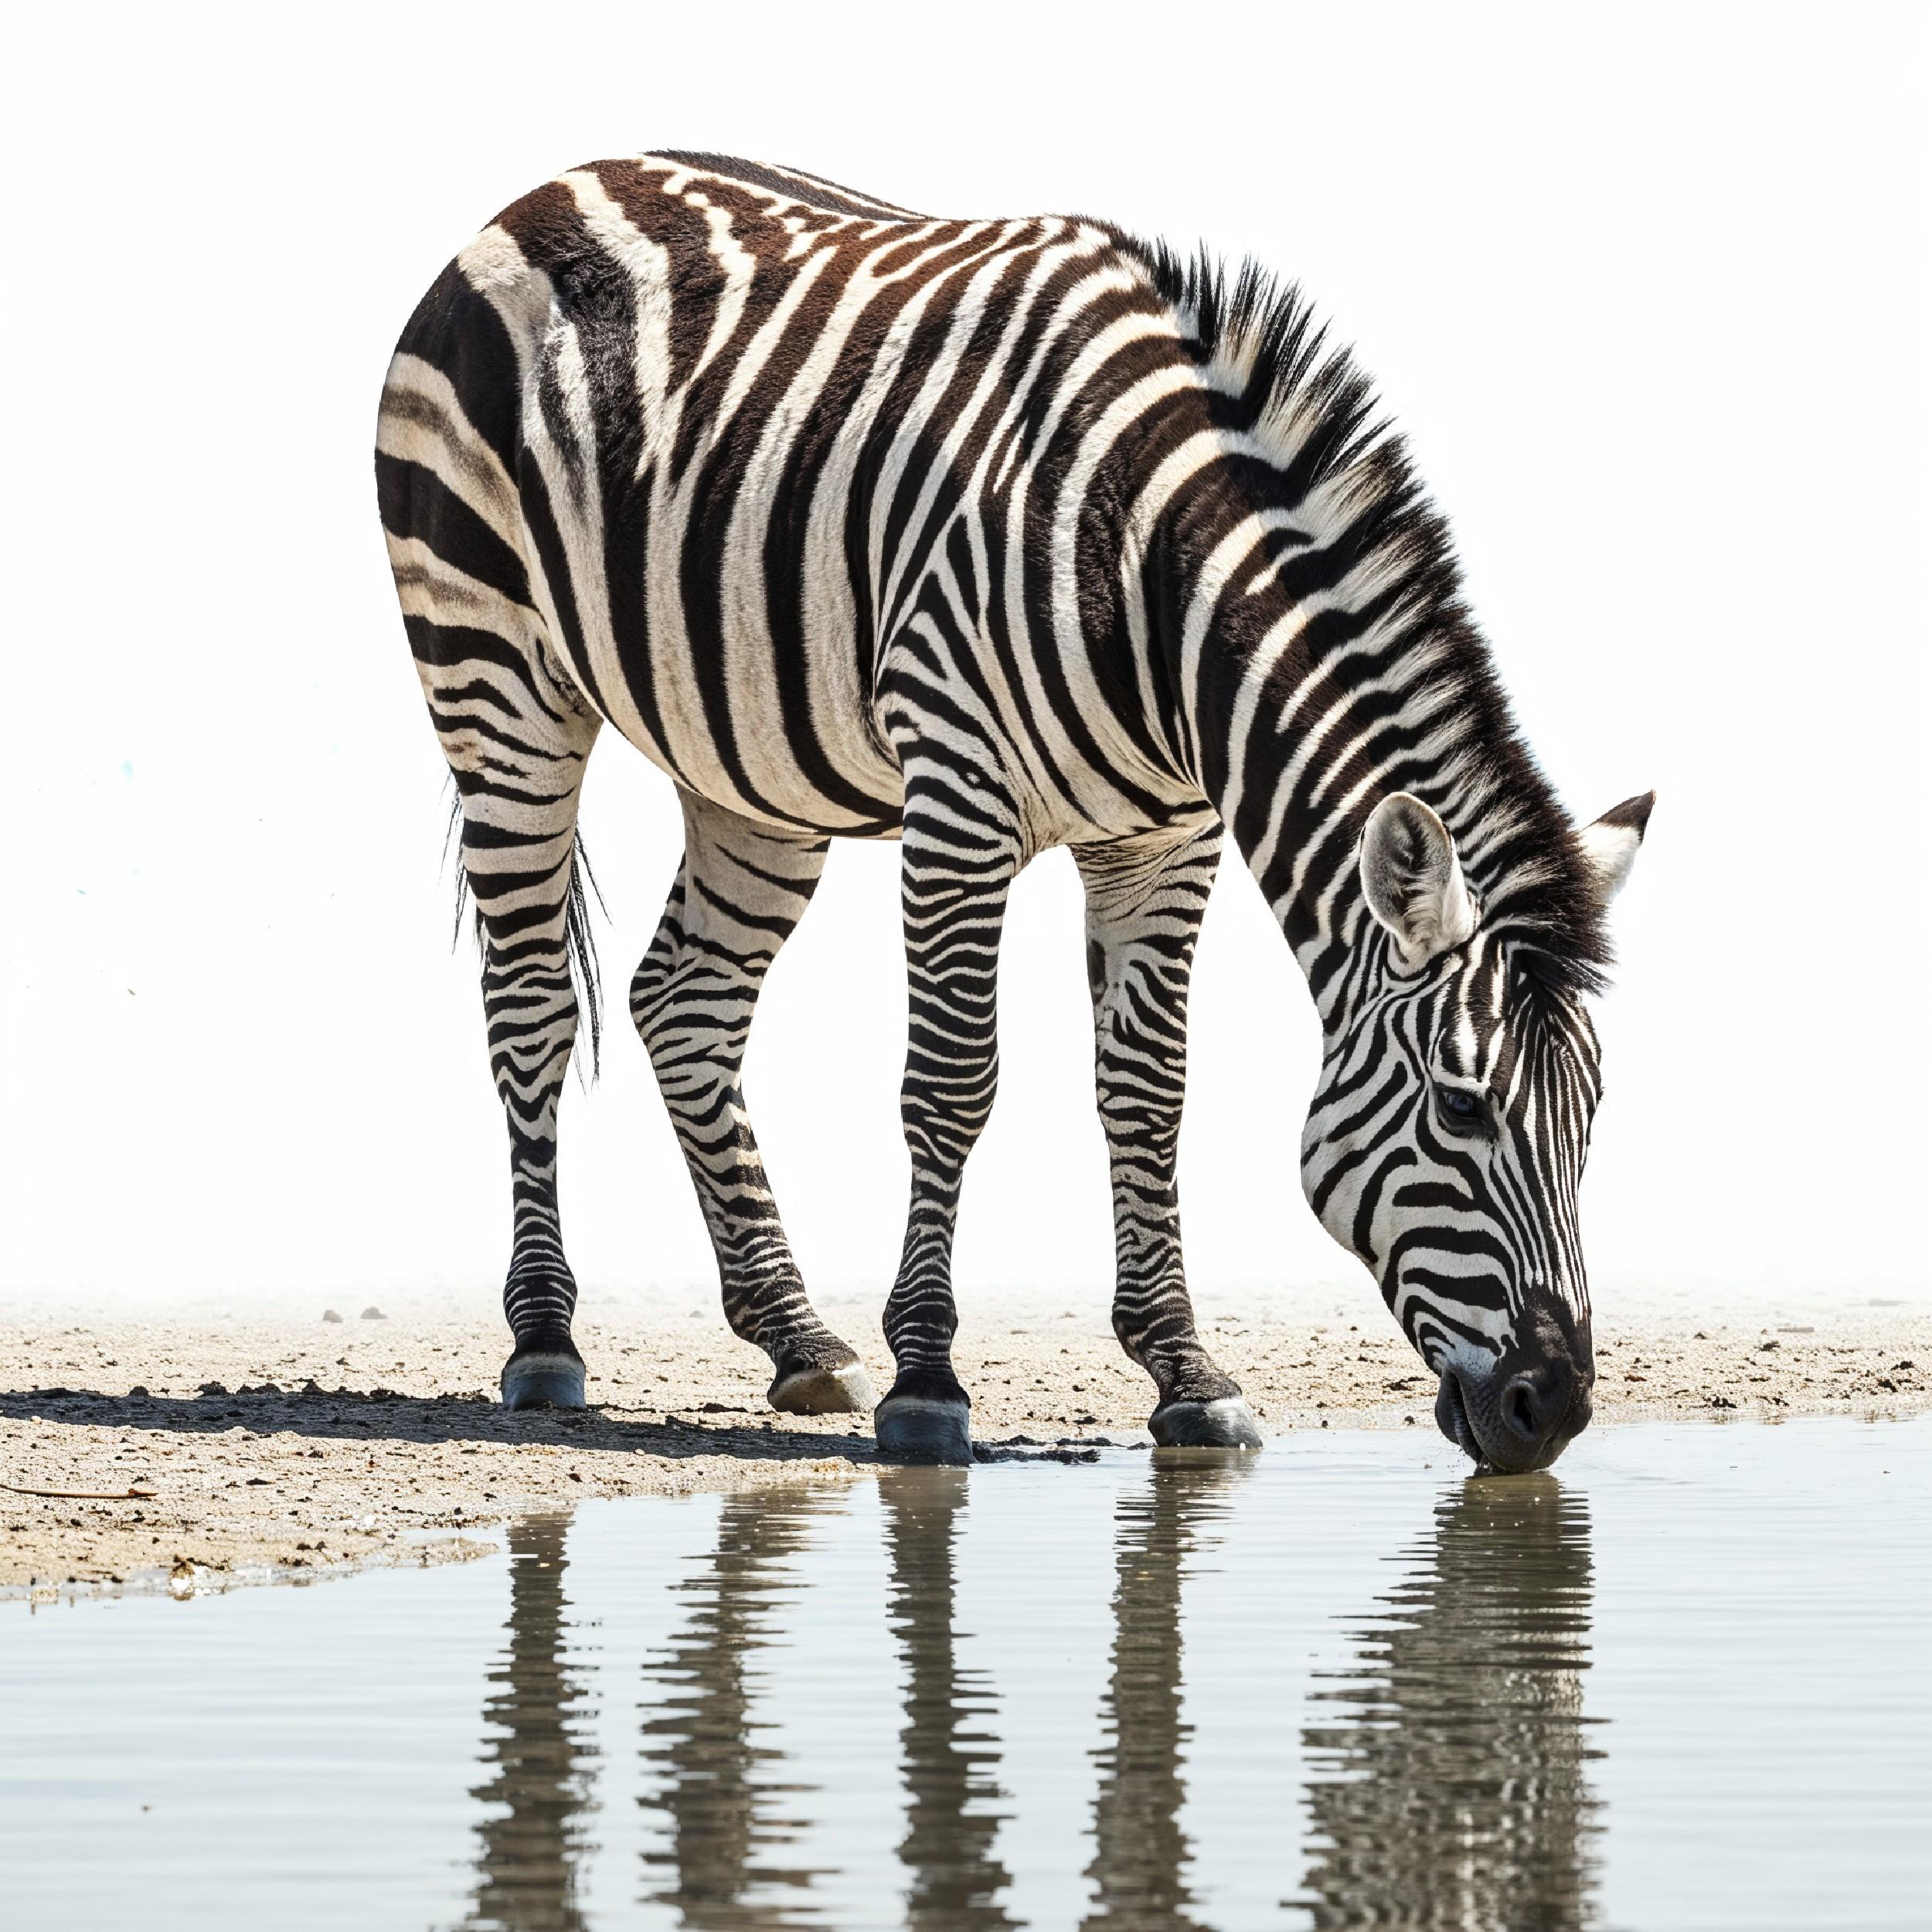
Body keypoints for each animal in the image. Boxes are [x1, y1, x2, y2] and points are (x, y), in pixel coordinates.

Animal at [376, 152, 1650, 1473]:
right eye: (1460, 1107)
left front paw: (1183, 1370)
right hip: (492, 675)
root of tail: (561, 183)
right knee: (531, 1008)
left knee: (685, 1004)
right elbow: (952, 1080)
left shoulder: (1165, 839)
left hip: (746, 763)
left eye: (1593, 1114)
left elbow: (1148, 1093)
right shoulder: (960, 795)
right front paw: (929, 1379)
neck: (1154, 573)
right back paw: (544, 1340)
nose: (1553, 1409)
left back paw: (795, 1334)